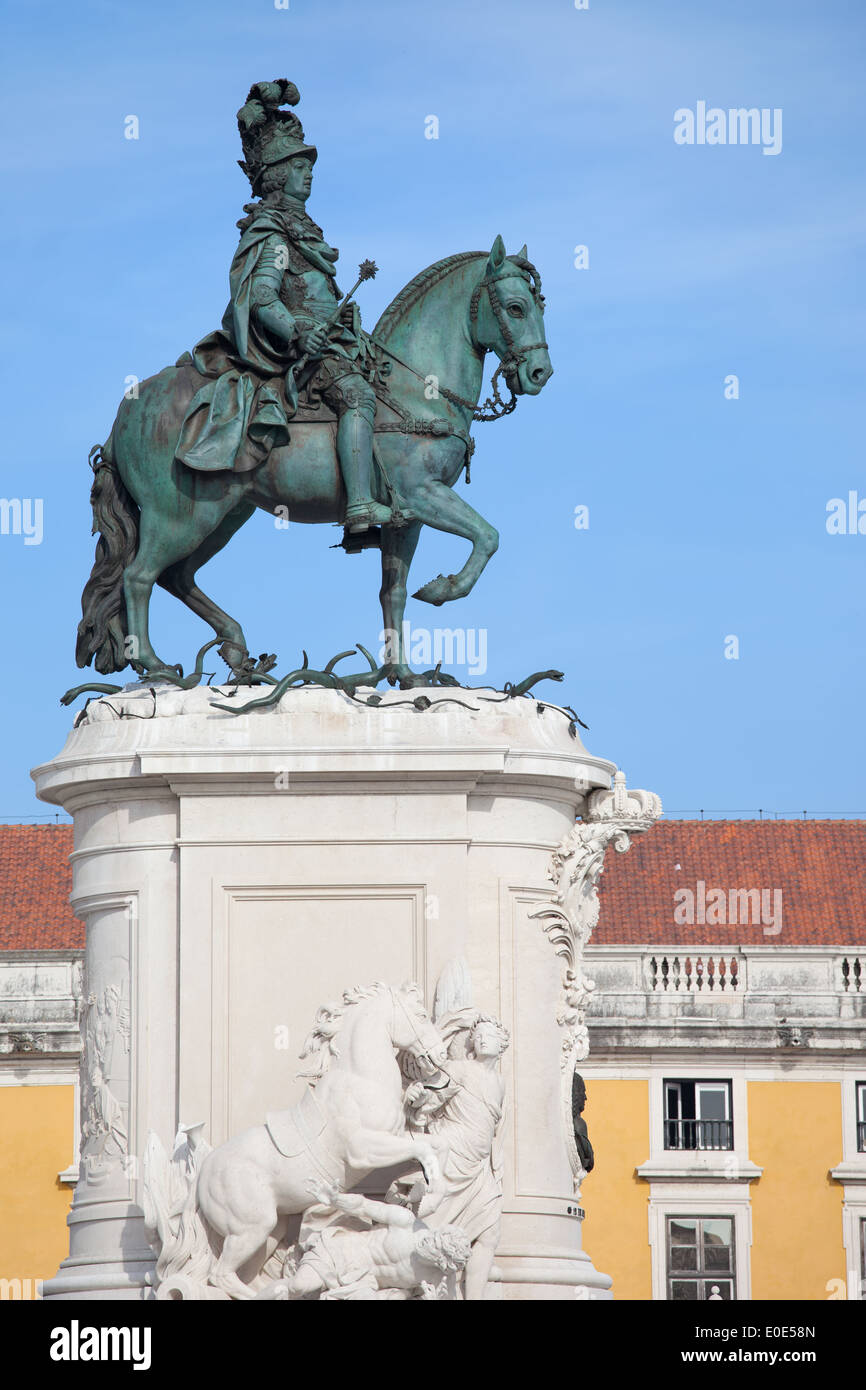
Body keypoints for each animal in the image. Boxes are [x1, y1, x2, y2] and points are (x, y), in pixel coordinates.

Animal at [72, 241, 547, 692]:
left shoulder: (406, 517)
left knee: (176, 576)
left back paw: (237, 649)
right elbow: (488, 536)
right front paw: (444, 589)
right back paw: (154, 664)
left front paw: (404, 674)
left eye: (540, 305)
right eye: (515, 307)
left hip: (223, 514)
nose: (541, 372)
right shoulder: (422, 493)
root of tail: (127, 413)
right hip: (178, 516)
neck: (416, 389)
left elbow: (392, 593)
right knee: (139, 576)